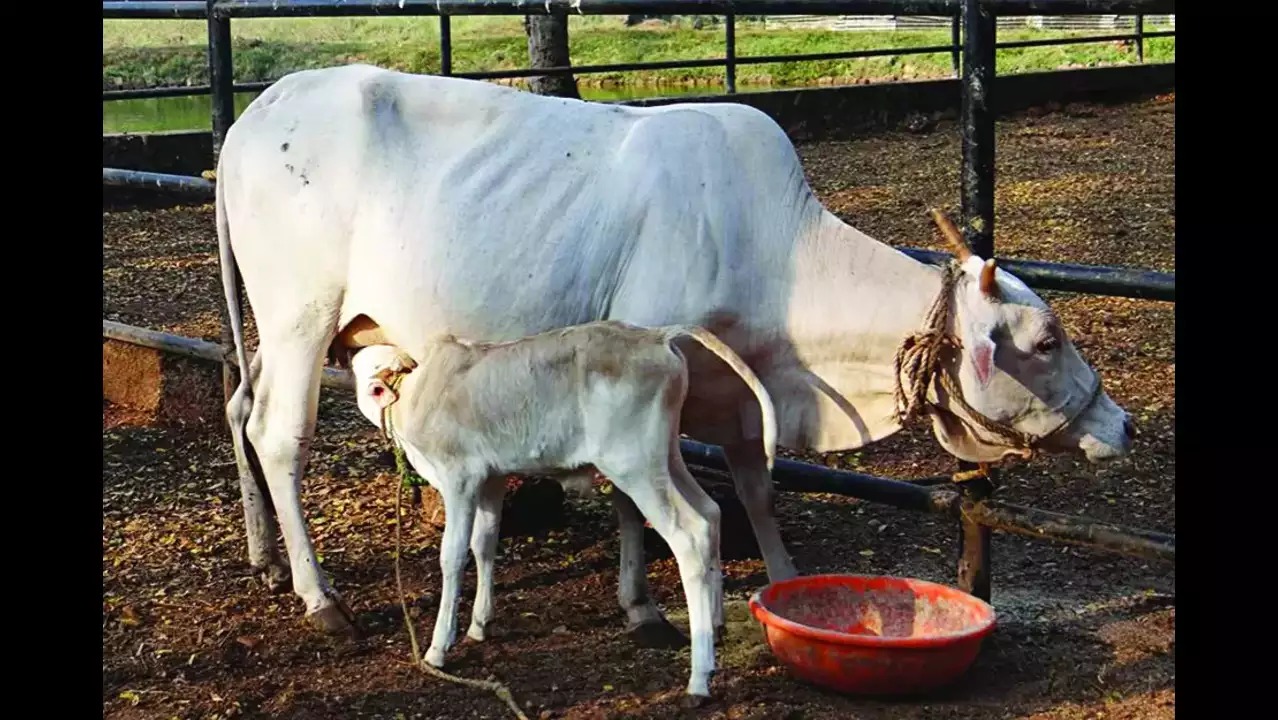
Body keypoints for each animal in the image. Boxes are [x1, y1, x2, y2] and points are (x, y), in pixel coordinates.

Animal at [343, 320, 778, 697]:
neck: (414, 393)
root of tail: (655, 336)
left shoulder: (459, 479)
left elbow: (452, 556)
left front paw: (438, 648)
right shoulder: (491, 479)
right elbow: (484, 544)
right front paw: (480, 624)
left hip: (633, 464)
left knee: (688, 536)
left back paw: (699, 678)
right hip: (666, 456)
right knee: (709, 515)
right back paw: (715, 628)